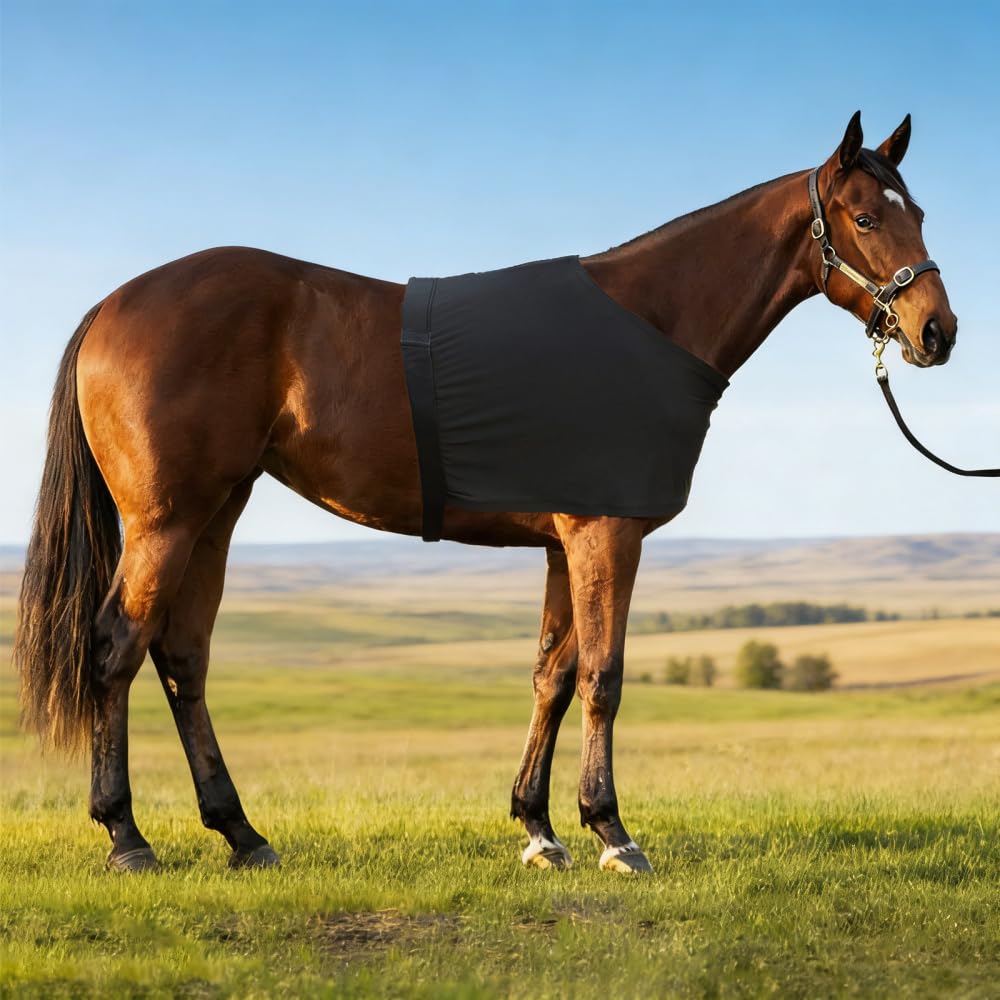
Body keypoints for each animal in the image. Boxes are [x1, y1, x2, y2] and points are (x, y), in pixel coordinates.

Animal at [13, 112, 957, 874]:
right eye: (866, 217)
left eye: (918, 212)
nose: (937, 331)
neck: (651, 321)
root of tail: (114, 305)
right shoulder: (606, 534)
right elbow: (604, 676)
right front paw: (612, 831)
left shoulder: (563, 545)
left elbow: (553, 675)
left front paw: (539, 828)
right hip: (164, 522)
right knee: (115, 649)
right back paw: (127, 837)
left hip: (214, 514)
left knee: (182, 659)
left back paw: (241, 833)